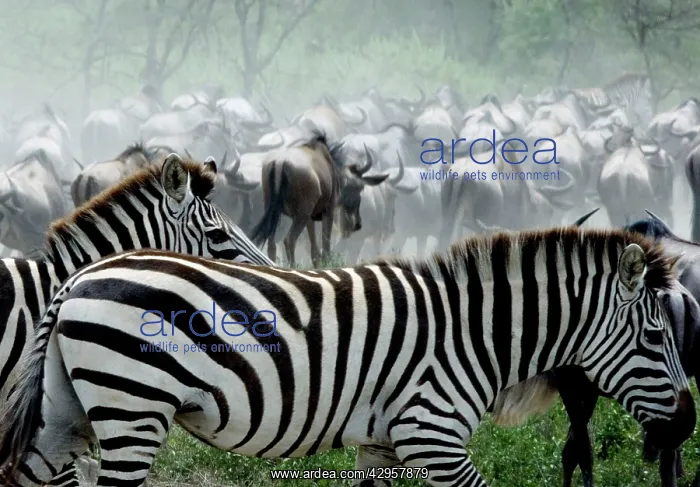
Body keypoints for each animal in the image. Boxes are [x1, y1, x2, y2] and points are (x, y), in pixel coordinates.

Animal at [0, 227, 695, 487]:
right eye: (655, 338)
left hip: (66, 413)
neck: (474, 334)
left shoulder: (384, 443)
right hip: (133, 407)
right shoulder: (432, 436)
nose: (689, 425)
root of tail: (79, 278)